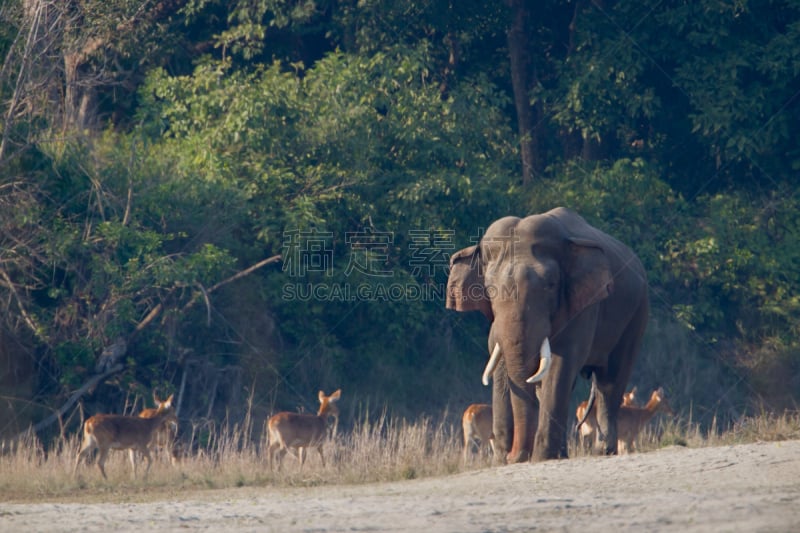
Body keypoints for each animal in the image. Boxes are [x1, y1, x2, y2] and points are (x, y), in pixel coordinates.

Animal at [446, 207, 648, 462]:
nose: (515, 455)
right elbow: (500, 360)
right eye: (489, 289)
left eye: (550, 285)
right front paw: (503, 460)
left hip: (637, 313)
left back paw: (601, 452)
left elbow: (563, 363)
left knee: (610, 379)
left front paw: (539, 457)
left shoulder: (584, 303)